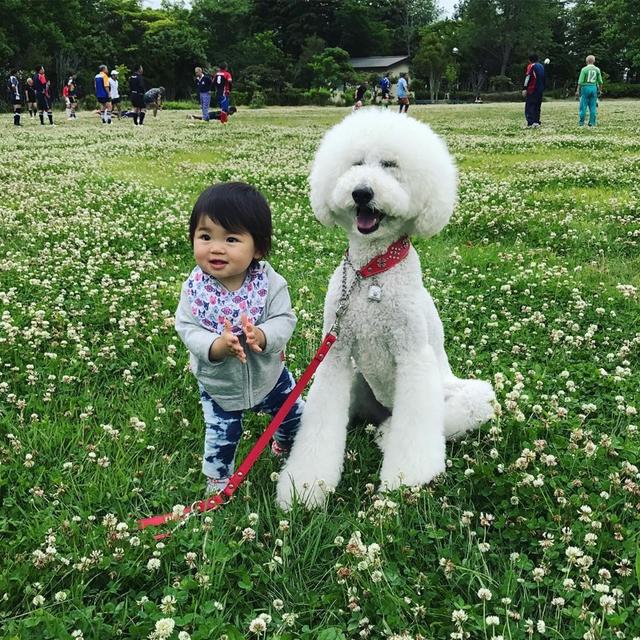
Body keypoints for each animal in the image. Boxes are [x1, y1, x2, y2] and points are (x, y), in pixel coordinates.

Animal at [276, 110, 496, 510]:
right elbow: (318, 428)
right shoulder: (336, 356)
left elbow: (417, 432)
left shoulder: (413, 356)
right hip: (356, 385)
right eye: (356, 163)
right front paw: (306, 485)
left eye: (391, 165)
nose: (362, 192)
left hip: (466, 399)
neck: (371, 274)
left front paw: (408, 477)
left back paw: (388, 433)